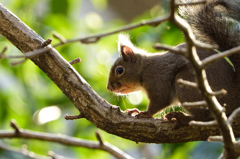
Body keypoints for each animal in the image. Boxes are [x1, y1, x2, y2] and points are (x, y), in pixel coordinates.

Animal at [107, 0, 240, 124]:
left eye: (120, 70)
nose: (109, 88)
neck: (144, 70)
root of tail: (234, 95)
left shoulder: (157, 80)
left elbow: (161, 101)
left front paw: (144, 113)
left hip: (188, 85)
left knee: (201, 117)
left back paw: (182, 117)